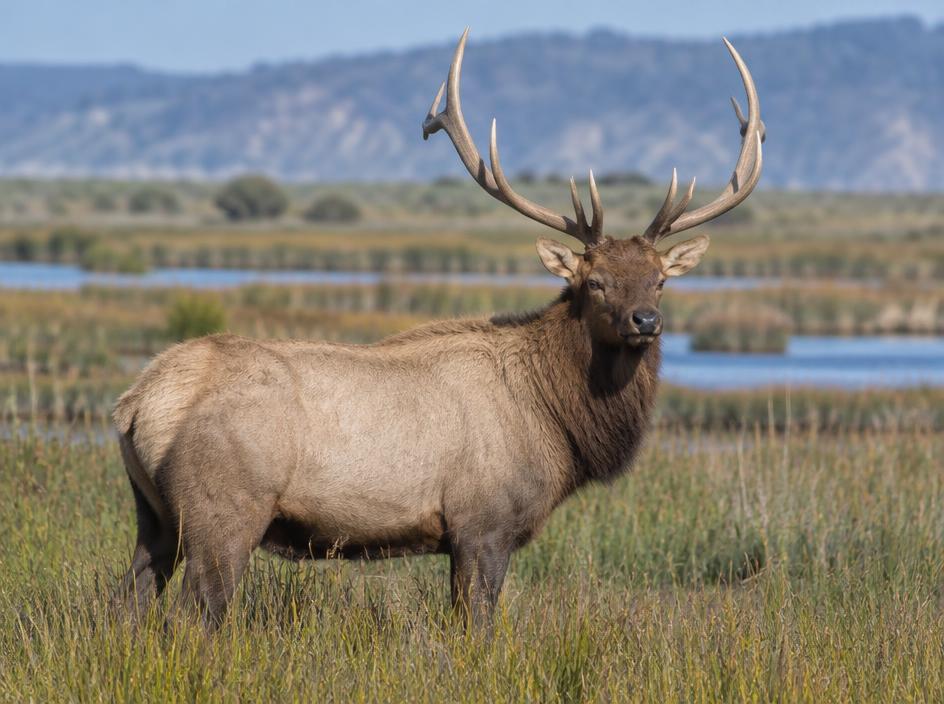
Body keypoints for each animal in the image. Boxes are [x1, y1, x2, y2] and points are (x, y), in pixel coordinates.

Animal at [112, 29, 764, 629]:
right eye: (596, 281)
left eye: (660, 281)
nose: (645, 321)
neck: (559, 422)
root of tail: (138, 403)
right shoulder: (483, 523)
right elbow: (476, 626)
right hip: (223, 512)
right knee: (192, 617)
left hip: (155, 517)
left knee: (131, 602)